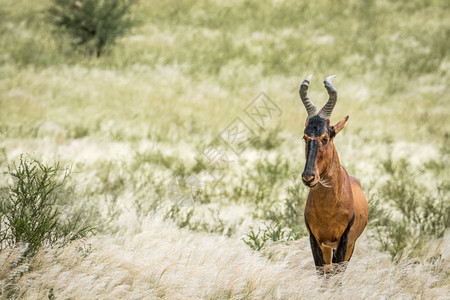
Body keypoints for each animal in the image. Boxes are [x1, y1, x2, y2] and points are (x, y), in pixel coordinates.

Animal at [298, 74, 368, 272]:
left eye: (325, 137)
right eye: (305, 137)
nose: (309, 177)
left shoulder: (344, 241)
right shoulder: (315, 240)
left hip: (349, 246)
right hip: (328, 248)